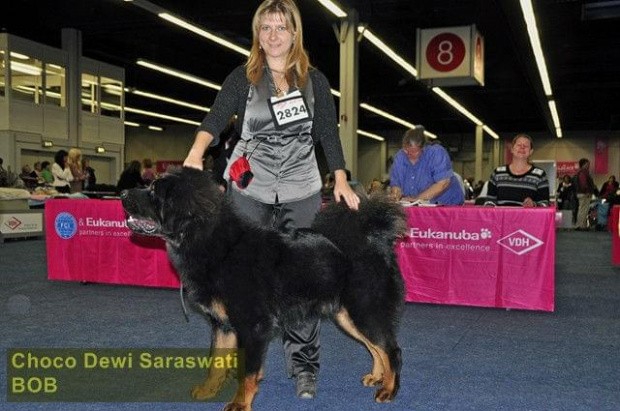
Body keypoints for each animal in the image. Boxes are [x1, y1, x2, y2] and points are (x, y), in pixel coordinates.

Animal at [121, 168, 406, 411]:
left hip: (364, 309)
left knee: (391, 349)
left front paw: (240, 403)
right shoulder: (223, 325)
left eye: (154, 191)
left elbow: (247, 371)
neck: (214, 245)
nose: (123, 194)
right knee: (376, 347)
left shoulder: (253, 325)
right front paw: (208, 390)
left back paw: (389, 389)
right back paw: (377, 377)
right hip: (347, 315)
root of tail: (374, 239)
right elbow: (216, 363)